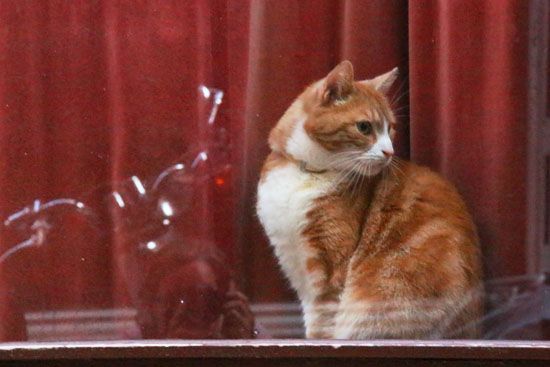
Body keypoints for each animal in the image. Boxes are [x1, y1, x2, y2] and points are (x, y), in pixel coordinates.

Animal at [256, 60, 486, 340]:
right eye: (364, 127)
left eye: (391, 128)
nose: (390, 152)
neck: (307, 173)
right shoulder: (295, 264)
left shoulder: (331, 270)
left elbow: (323, 324)